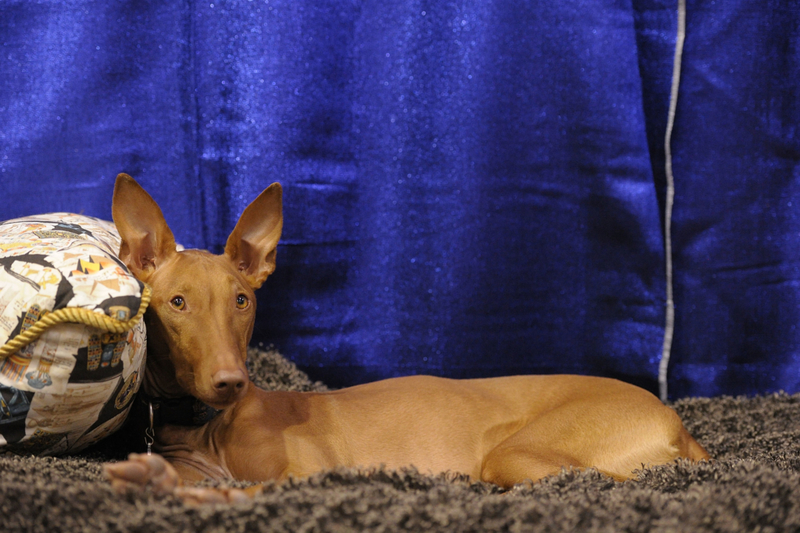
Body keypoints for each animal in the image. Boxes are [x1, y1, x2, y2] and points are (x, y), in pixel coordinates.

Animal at [101, 175, 708, 502]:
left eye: (242, 301)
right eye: (178, 303)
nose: (231, 382)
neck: (211, 428)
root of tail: (673, 419)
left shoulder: (314, 474)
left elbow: (246, 487)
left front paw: (172, 488)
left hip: (518, 455)